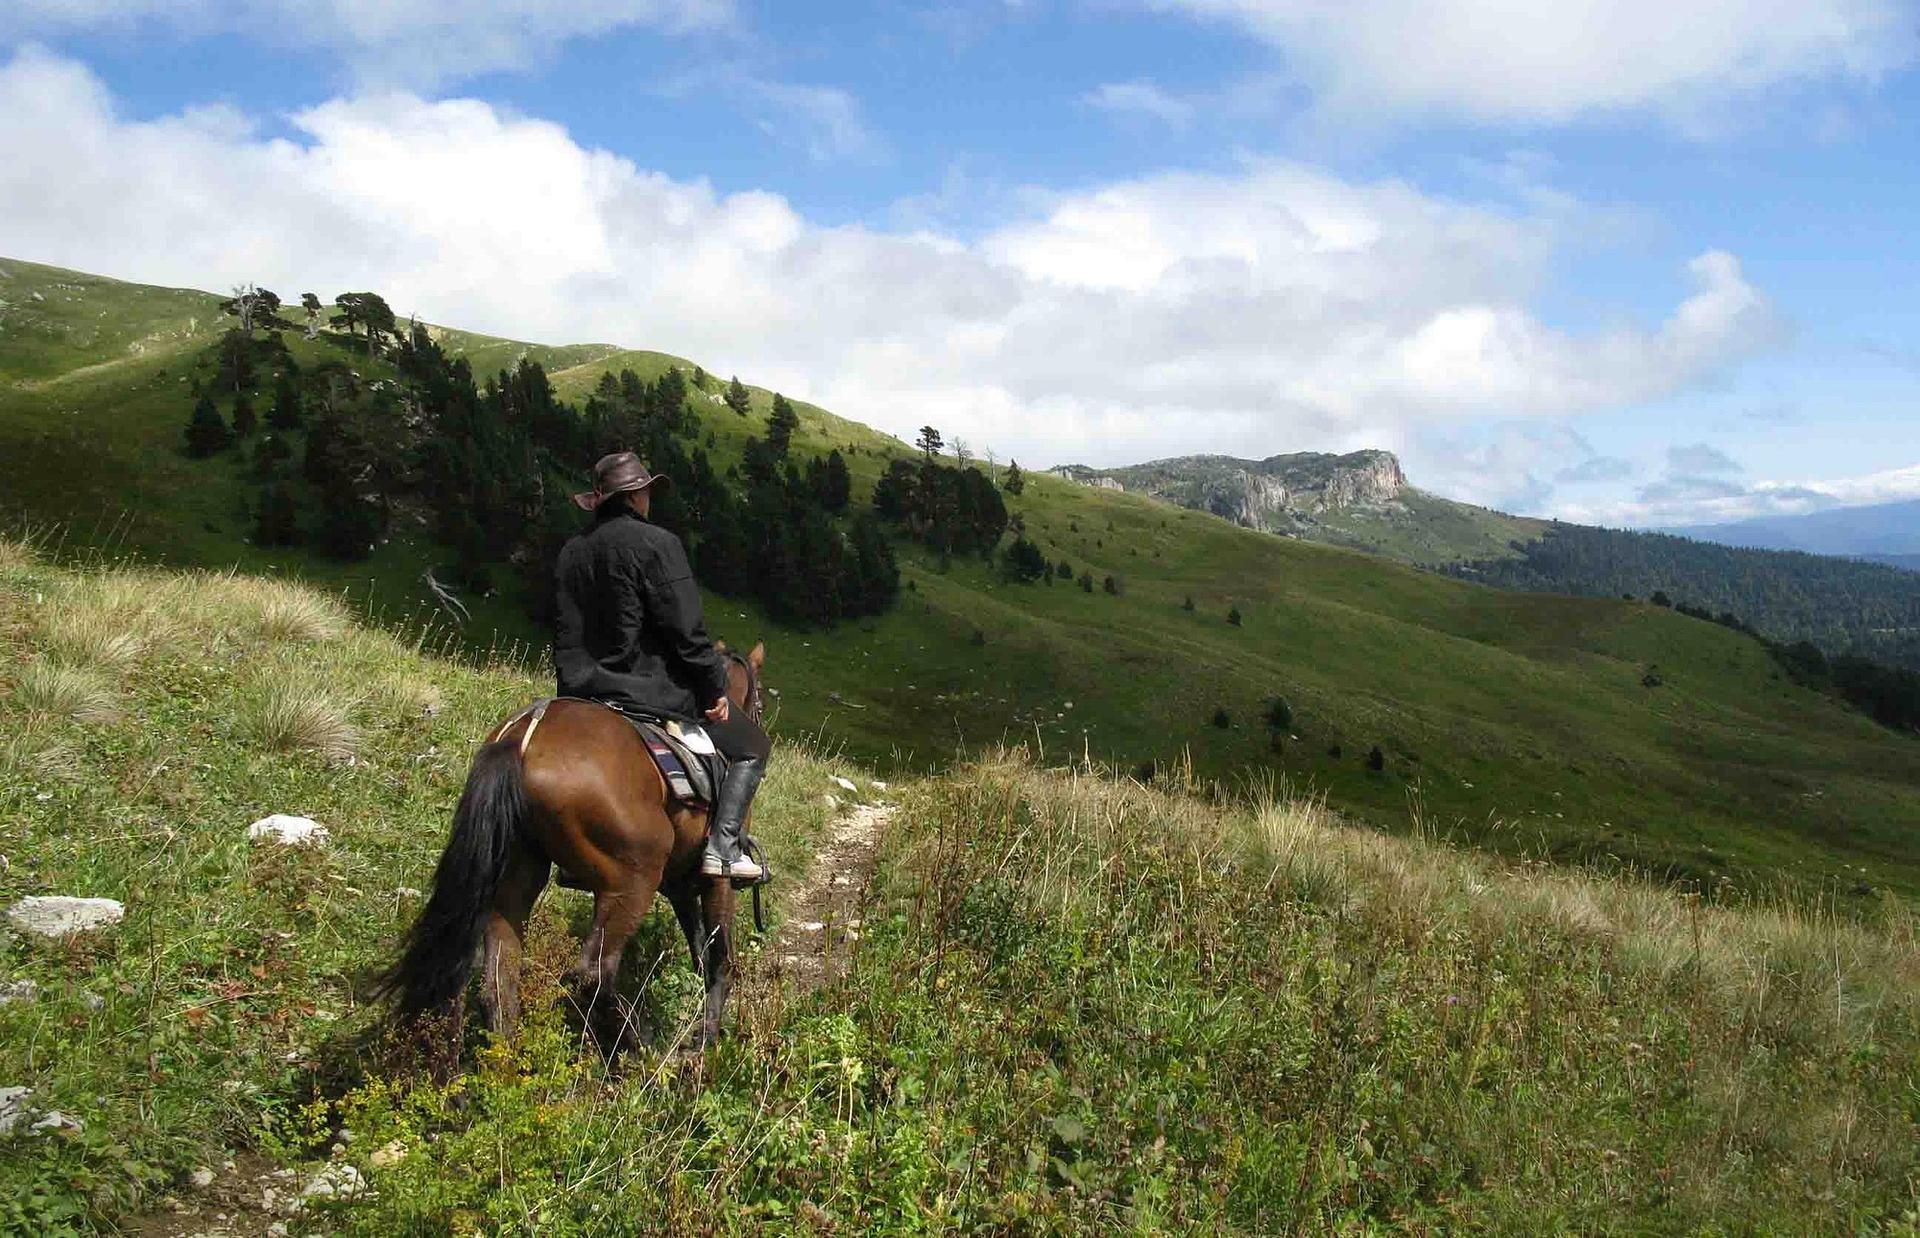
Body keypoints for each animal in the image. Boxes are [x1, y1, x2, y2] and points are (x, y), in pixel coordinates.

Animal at [374, 637, 764, 1051]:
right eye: (758, 704)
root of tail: (522, 736)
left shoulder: (678, 884)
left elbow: (701, 950)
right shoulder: (715, 879)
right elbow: (720, 956)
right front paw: (706, 1036)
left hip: (517, 874)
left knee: (500, 979)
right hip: (633, 881)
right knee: (594, 973)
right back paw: (636, 1045)